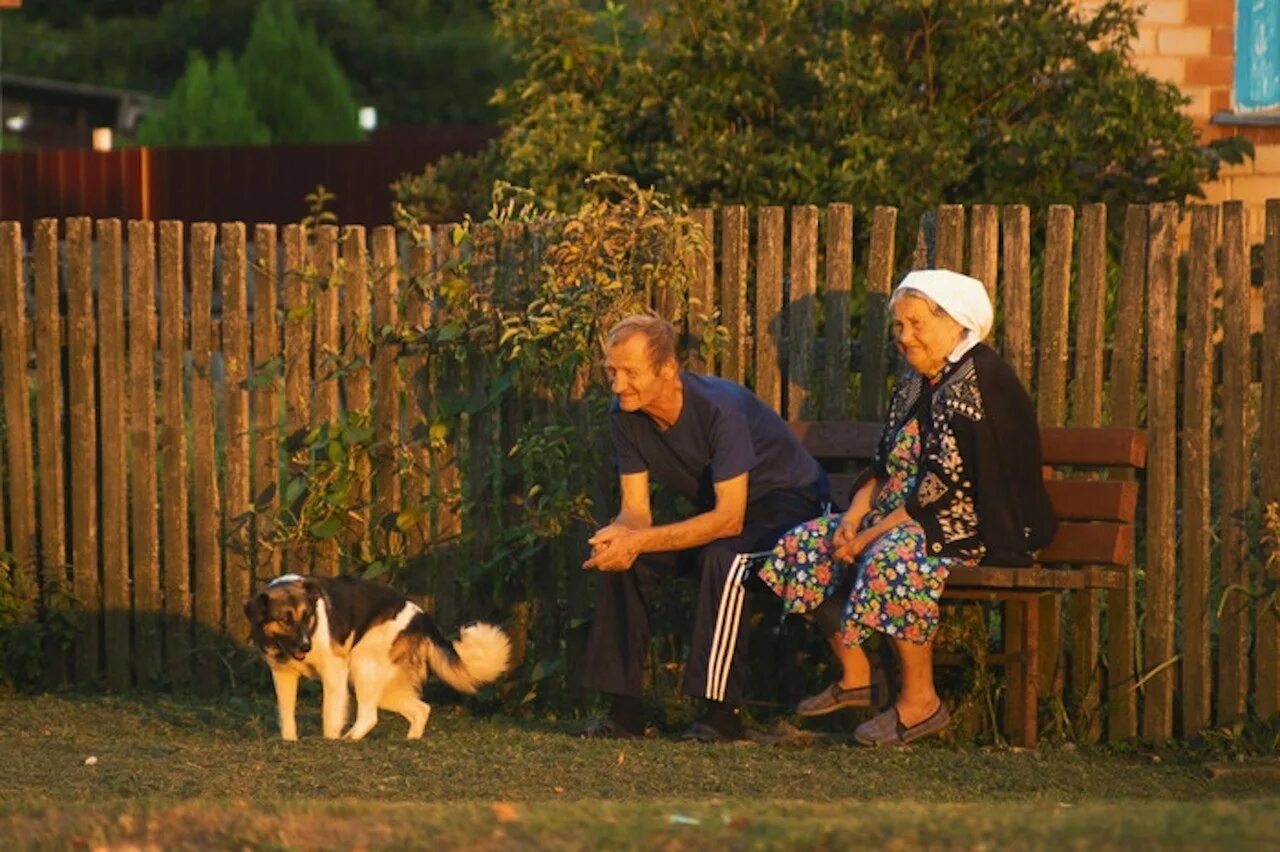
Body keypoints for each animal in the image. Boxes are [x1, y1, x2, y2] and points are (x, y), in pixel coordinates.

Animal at [244, 573, 509, 741]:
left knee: (369, 716)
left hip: (361, 664)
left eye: (308, 616)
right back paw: (411, 740)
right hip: (383, 686)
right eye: (285, 620)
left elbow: (330, 714)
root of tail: (422, 616)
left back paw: (349, 739)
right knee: (421, 709)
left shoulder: (334, 672)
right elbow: (286, 716)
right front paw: (290, 742)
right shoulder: (283, 675)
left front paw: (329, 741)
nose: (306, 646)